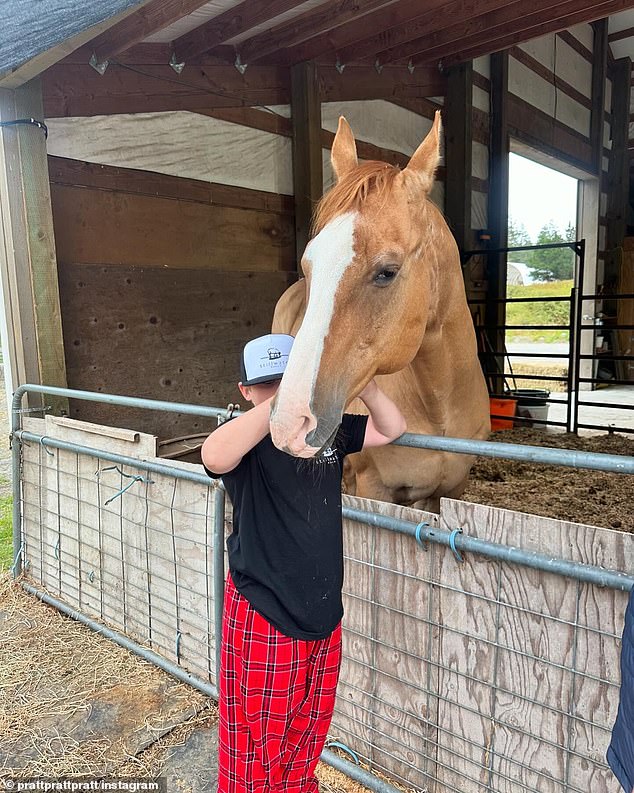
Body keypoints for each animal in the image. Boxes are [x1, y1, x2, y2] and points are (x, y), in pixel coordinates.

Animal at [266, 111, 488, 510]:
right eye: (308, 264)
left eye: (387, 272)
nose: (291, 420)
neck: (439, 409)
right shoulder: (376, 489)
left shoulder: (448, 492)